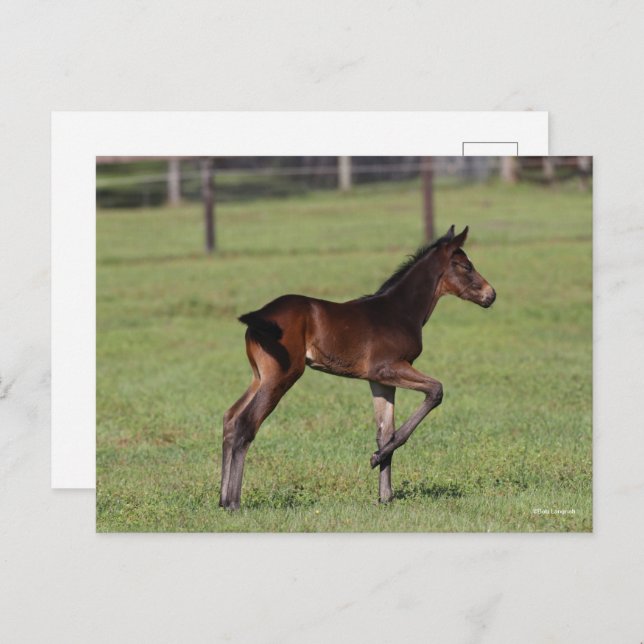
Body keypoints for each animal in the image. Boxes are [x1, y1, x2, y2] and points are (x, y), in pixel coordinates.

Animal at [220, 225, 495, 510]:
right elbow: (435, 392)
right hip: (281, 375)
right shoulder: (388, 368)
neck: (400, 311)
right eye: (466, 266)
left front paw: (385, 497)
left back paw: (221, 499)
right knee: (246, 423)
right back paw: (233, 503)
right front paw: (375, 460)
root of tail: (259, 317)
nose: (491, 295)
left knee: (230, 418)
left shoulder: (380, 381)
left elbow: (385, 432)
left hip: (259, 377)